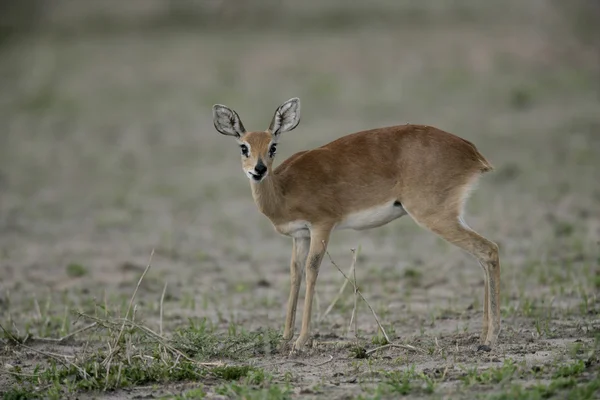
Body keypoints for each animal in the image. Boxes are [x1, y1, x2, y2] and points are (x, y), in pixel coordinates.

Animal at [213, 98, 500, 352]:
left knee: (489, 250)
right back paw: (482, 336)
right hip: (452, 215)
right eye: (243, 147)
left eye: (273, 146)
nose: (259, 170)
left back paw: (490, 339)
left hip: (435, 216)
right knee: (482, 257)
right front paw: (284, 339)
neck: (284, 189)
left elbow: (312, 270)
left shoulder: (322, 226)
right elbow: (296, 274)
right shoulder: (300, 236)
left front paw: (301, 342)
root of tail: (472, 152)